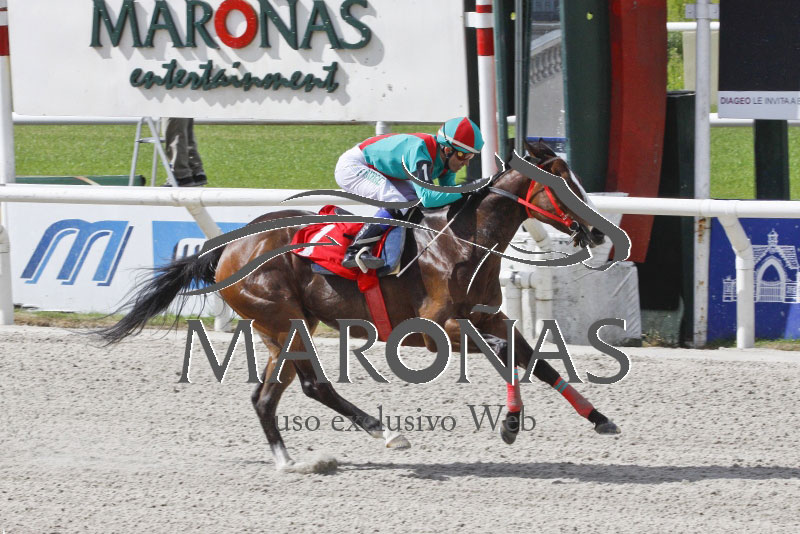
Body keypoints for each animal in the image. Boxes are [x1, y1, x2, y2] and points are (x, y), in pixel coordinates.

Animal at [99, 140, 621, 473]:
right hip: (286, 320)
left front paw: (599, 419)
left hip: (282, 328)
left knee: (267, 397)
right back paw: (383, 433)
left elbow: (538, 360)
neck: (460, 242)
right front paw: (511, 425)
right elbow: (506, 355)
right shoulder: (433, 331)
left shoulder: (489, 314)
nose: (599, 234)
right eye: (564, 185)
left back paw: (291, 463)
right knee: (312, 386)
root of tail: (228, 246)